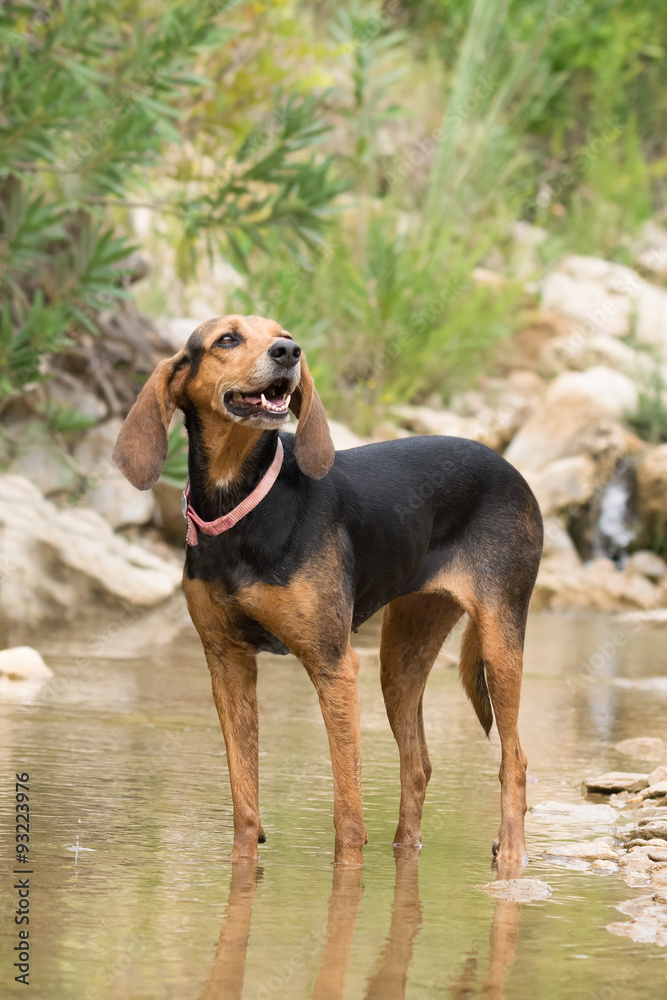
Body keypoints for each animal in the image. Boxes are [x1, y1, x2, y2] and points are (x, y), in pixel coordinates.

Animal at [113, 312, 544, 868]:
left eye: (282, 333)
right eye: (227, 338)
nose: (288, 352)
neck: (243, 504)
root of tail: (509, 466)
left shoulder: (332, 665)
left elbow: (348, 813)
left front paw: (348, 872)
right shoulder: (227, 664)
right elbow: (244, 797)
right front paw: (244, 864)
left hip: (499, 640)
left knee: (515, 758)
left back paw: (511, 854)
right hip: (401, 655)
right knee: (417, 763)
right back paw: (407, 848)